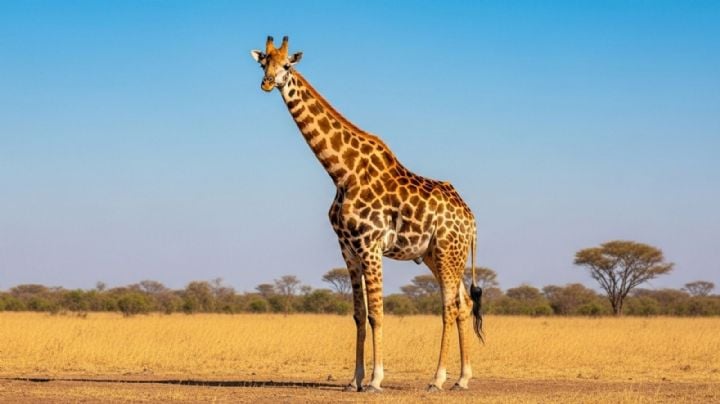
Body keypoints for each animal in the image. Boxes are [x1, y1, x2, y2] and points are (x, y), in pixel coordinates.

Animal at [250, 36, 484, 392]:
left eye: (287, 65)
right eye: (264, 62)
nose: (266, 83)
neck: (341, 173)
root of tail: (471, 219)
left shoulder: (371, 246)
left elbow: (377, 313)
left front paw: (375, 380)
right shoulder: (348, 249)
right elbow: (359, 314)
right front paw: (354, 380)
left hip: (448, 252)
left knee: (449, 307)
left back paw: (438, 379)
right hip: (436, 255)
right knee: (463, 304)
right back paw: (463, 378)